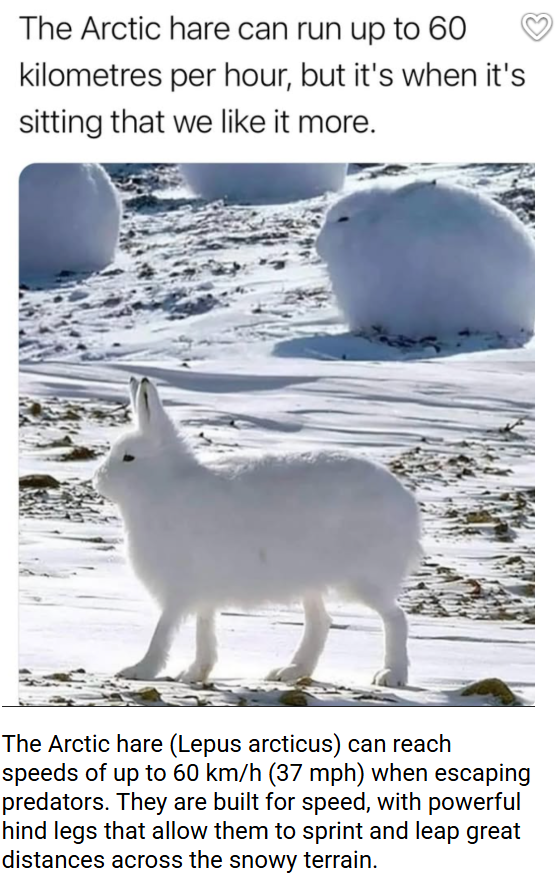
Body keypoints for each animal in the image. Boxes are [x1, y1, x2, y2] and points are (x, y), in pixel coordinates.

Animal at [93, 377, 421, 687]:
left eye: (128, 457)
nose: (98, 479)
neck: (163, 484)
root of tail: (406, 505)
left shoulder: (179, 588)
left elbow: (163, 630)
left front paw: (138, 670)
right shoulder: (202, 593)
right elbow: (204, 630)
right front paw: (195, 673)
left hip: (361, 579)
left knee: (395, 618)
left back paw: (392, 674)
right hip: (310, 582)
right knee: (320, 622)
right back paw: (289, 671)